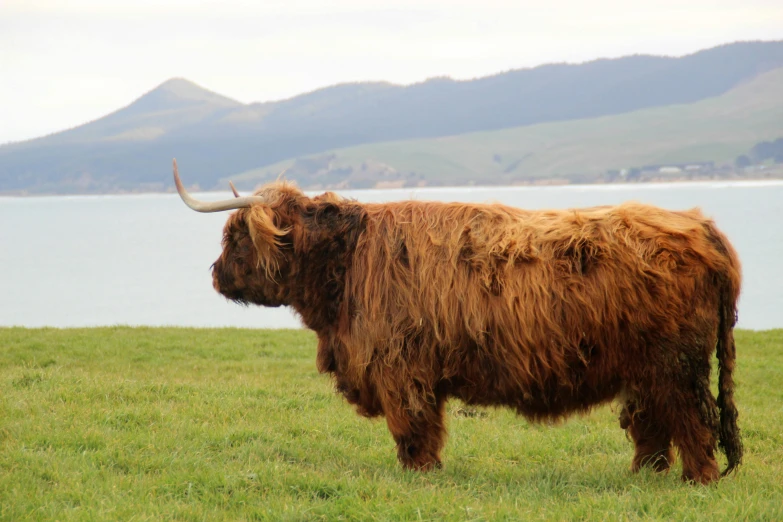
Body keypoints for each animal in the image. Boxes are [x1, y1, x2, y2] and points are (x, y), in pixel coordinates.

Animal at [172, 159, 740, 484]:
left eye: (235, 236)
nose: (216, 275)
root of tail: (699, 225)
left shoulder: (399, 366)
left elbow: (413, 426)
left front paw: (419, 473)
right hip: (644, 368)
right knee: (653, 424)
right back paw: (645, 475)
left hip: (675, 363)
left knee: (694, 421)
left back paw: (698, 481)